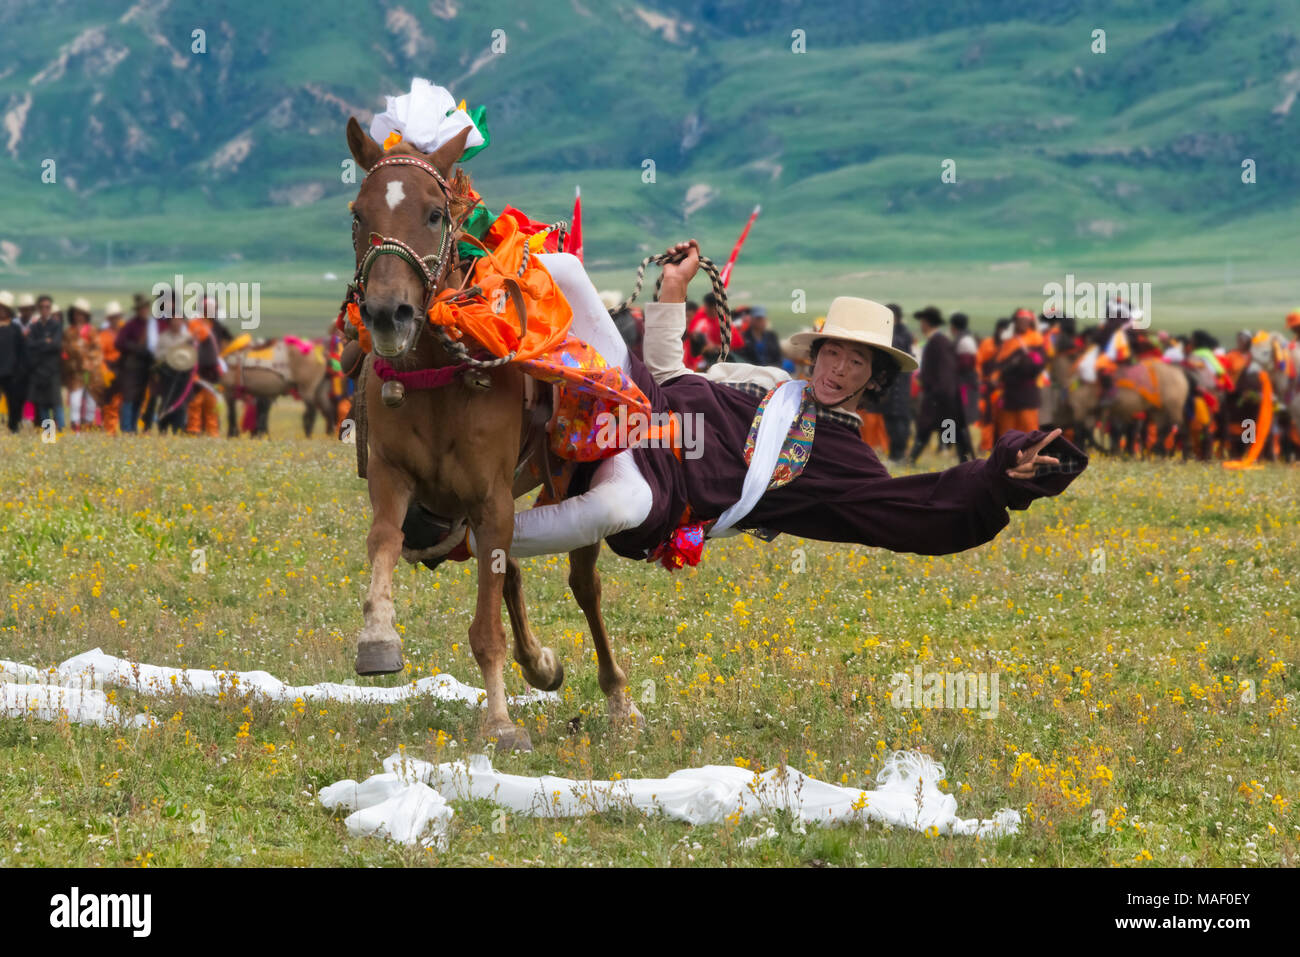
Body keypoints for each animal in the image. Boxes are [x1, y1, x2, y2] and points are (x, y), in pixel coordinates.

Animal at [340, 117, 634, 748]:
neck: (437, 375)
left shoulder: (491, 495)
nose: (387, 315)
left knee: (584, 584)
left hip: (570, 484)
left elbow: (487, 627)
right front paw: (377, 638)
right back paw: (541, 664)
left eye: (434, 214)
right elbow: (384, 541)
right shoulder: (393, 479)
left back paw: (619, 699)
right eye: (358, 214)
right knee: (510, 570)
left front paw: (499, 722)